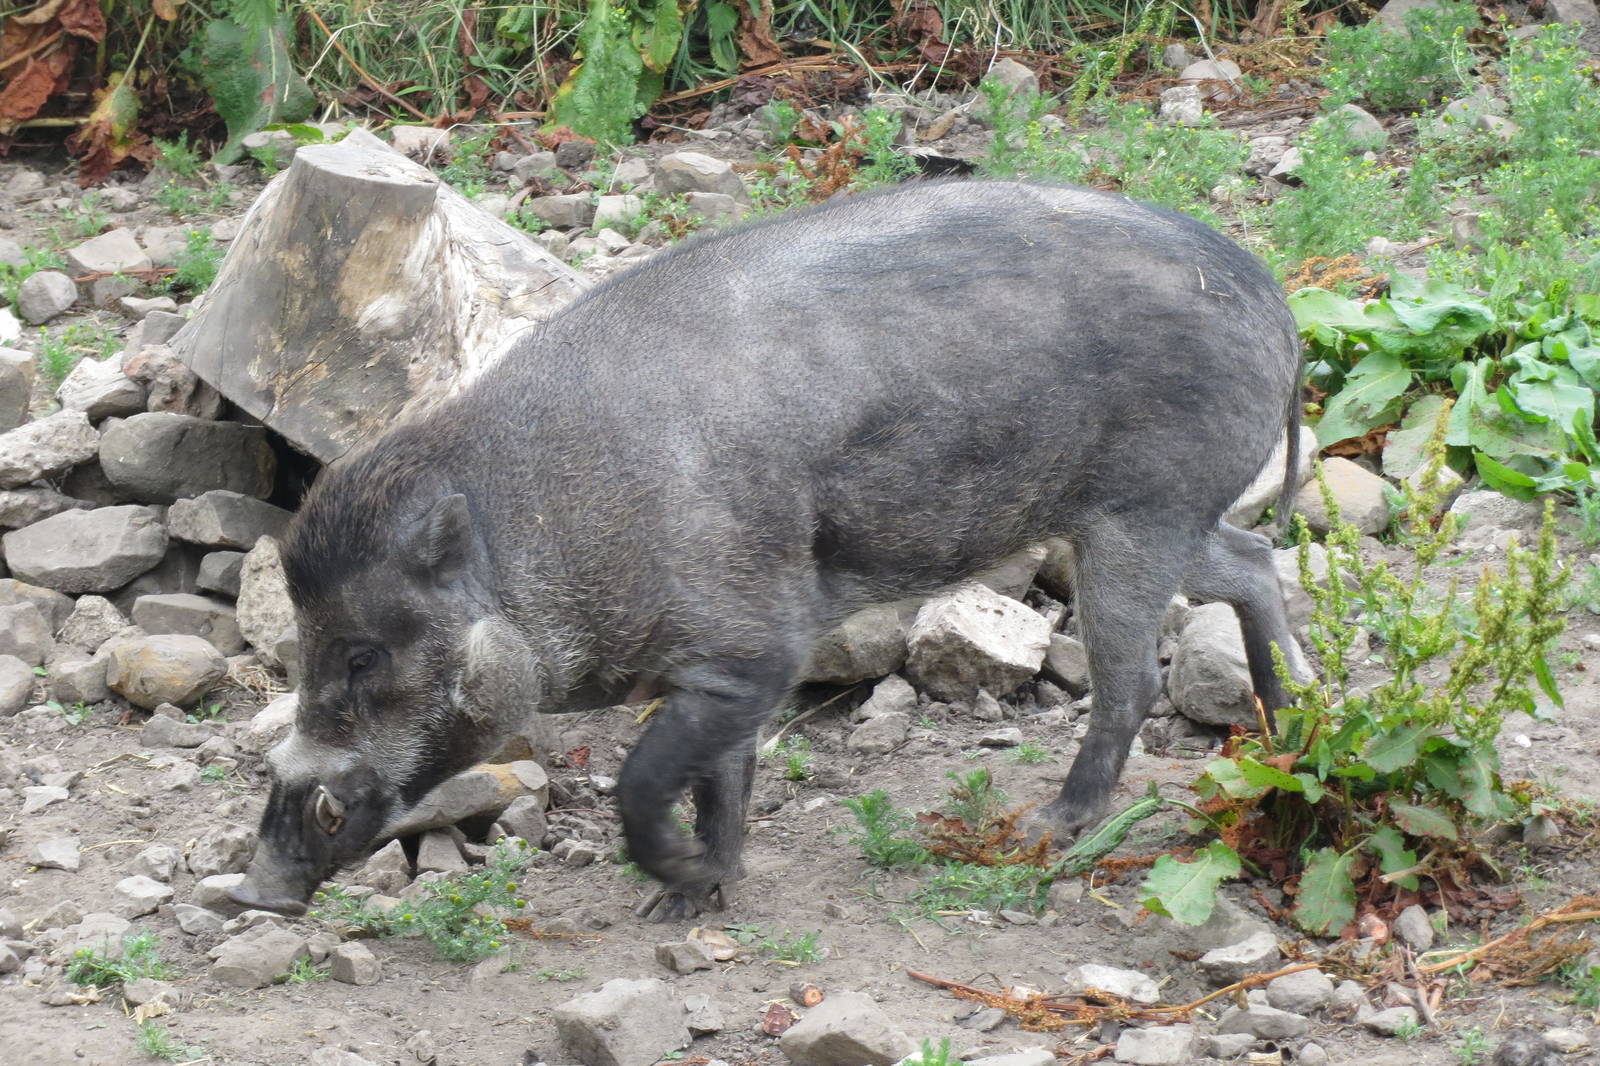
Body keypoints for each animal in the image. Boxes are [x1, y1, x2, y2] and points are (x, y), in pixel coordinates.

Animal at [232, 180, 1303, 920]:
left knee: (1136, 678)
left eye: (362, 654)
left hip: (1141, 512)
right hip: (1162, 516)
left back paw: (1049, 829)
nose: (250, 889)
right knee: (1254, 560)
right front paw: (690, 898)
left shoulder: (758, 645)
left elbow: (646, 776)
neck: (555, 524)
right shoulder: (715, 667)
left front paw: (676, 879)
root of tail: (1277, 302)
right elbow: (725, 777)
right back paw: (1291, 721)